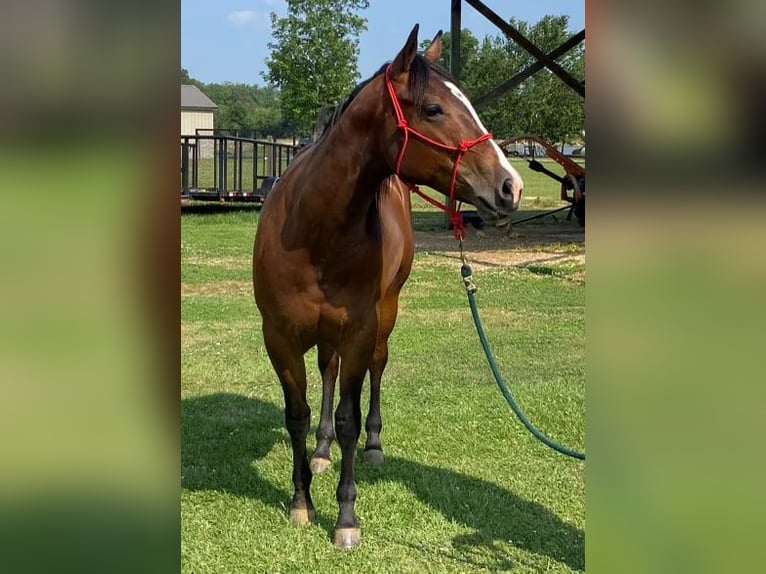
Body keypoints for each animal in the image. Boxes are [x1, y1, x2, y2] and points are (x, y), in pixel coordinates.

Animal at [255, 24, 524, 552]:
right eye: (434, 109)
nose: (511, 186)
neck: (313, 232)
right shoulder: (279, 336)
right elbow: (297, 414)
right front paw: (302, 501)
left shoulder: (360, 330)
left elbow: (350, 418)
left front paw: (345, 517)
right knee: (328, 371)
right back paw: (320, 451)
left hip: (385, 315)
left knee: (376, 371)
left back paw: (374, 447)